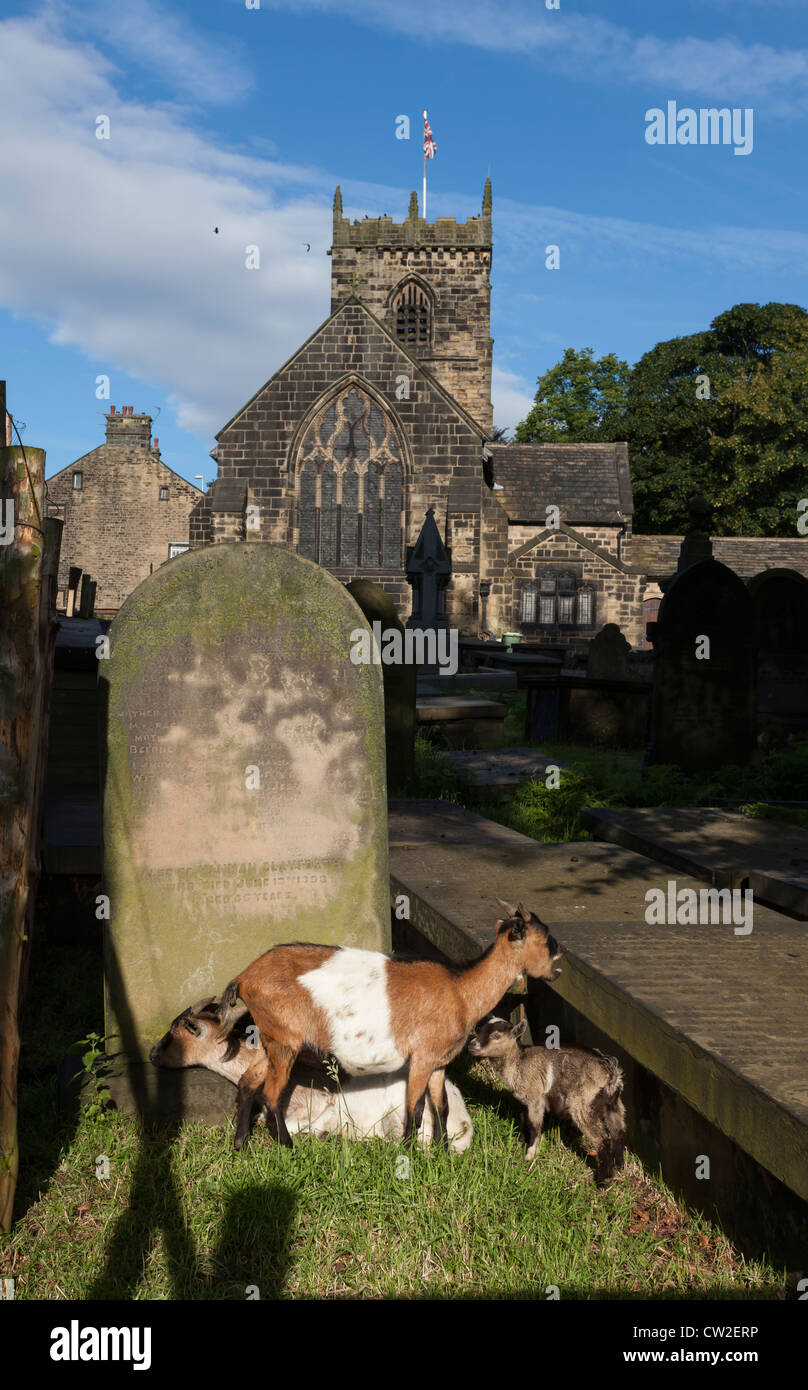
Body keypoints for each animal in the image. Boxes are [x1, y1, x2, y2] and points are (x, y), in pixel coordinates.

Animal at [216, 900, 564, 1150]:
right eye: (546, 938)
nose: (559, 958)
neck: (461, 990)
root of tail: (244, 977)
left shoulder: (438, 1062)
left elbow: (440, 1107)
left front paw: (440, 1152)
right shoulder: (421, 1058)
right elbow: (415, 1109)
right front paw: (409, 1154)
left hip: (271, 1037)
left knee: (248, 1082)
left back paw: (240, 1144)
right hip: (285, 1039)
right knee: (272, 1094)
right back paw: (288, 1148)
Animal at [467, 1011, 623, 1184]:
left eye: (496, 1035)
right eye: (479, 1029)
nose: (471, 1045)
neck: (518, 1062)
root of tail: (611, 1074)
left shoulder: (536, 1098)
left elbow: (534, 1125)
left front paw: (530, 1154)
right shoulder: (526, 1101)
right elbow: (524, 1117)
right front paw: (523, 1139)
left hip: (582, 1103)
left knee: (602, 1139)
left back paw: (604, 1180)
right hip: (613, 1103)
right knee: (618, 1131)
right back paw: (619, 1164)